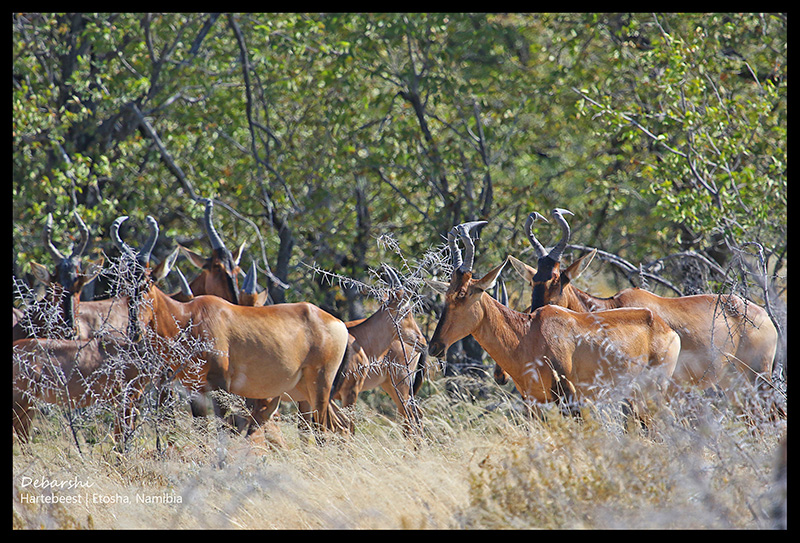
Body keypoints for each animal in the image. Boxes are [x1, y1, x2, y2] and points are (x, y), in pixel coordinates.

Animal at [428, 223, 680, 428]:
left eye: (462, 294)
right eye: (446, 294)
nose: (434, 347)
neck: (528, 333)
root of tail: (664, 326)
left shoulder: (570, 400)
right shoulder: (535, 403)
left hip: (653, 391)